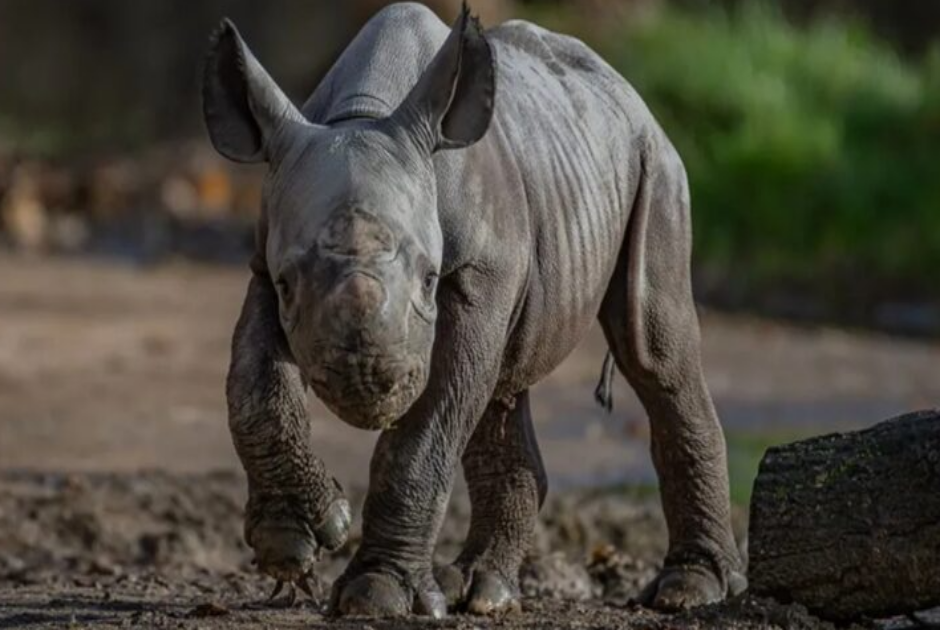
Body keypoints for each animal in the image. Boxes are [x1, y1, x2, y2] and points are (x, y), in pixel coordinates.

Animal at [204, 1, 746, 618]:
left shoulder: (476, 271)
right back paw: (481, 591)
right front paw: (293, 545)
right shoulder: (263, 257)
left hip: (656, 163)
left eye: (428, 278)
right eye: (288, 284)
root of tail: (625, 89)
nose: (367, 382)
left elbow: (425, 432)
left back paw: (688, 590)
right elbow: (252, 387)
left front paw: (377, 597)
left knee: (653, 350)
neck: (364, 113)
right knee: (502, 382)